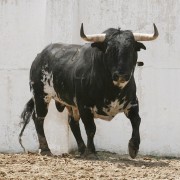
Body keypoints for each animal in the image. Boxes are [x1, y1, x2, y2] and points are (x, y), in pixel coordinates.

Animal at [19, 23, 158, 158]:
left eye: (131, 49)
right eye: (109, 50)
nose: (122, 75)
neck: (113, 90)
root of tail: (40, 56)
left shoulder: (133, 103)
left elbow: (137, 121)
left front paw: (134, 147)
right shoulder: (84, 106)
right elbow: (91, 129)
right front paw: (91, 152)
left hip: (70, 104)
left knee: (73, 123)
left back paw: (81, 149)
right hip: (40, 95)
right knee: (38, 118)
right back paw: (45, 149)